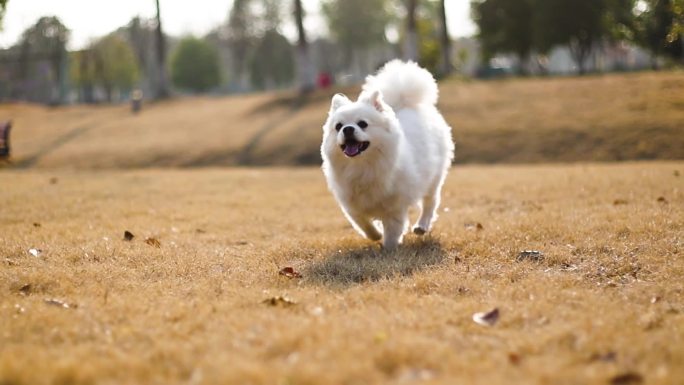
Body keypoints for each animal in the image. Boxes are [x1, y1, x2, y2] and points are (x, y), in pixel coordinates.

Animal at [320, 60, 454, 249]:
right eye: (338, 126)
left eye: (362, 124)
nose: (347, 129)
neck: (362, 165)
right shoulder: (352, 204)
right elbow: (363, 223)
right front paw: (376, 234)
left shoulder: (394, 206)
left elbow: (392, 230)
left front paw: (389, 249)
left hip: (433, 178)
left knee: (430, 202)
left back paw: (421, 226)